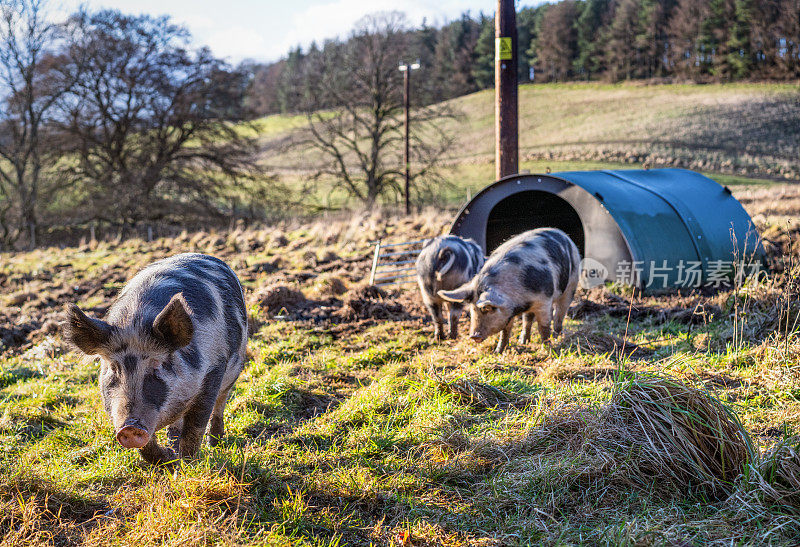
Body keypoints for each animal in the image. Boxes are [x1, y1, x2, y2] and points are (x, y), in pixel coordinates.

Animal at [63, 255, 247, 464]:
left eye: (158, 366)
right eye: (114, 368)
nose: (130, 427)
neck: (135, 322)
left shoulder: (213, 371)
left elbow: (195, 426)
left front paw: (187, 464)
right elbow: (147, 447)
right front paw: (169, 458)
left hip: (234, 368)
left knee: (221, 402)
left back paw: (215, 442)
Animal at [438, 228, 580, 354]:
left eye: (487, 309)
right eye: (473, 309)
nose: (474, 336)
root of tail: (563, 234)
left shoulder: (544, 301)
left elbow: (543, 327)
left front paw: (548, 350)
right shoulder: (508, 311)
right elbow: (505, 332)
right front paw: (498, 352)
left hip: (571, 285)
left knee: (560, 313)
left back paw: (557, 336)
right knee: (528, 319)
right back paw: (523, 341)